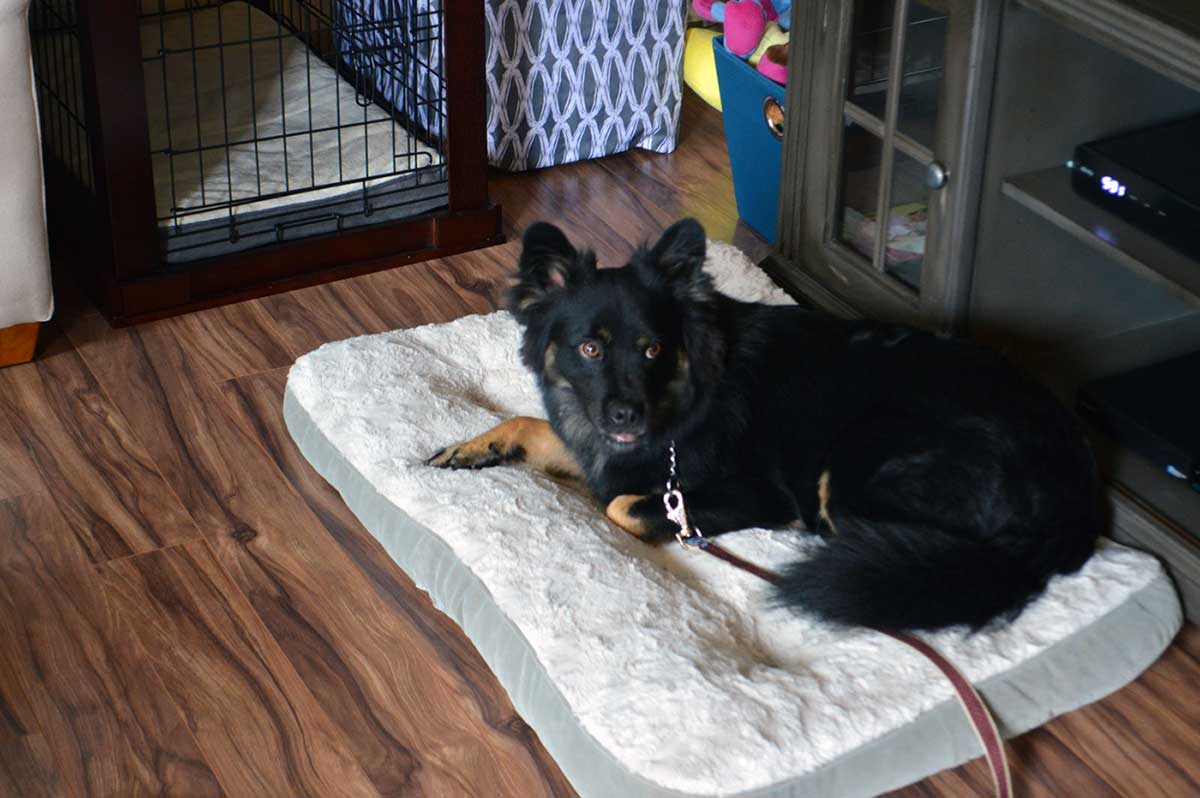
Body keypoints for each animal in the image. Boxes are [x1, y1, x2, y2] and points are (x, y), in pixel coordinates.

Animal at [427, 218, 1099, 628]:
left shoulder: (744, 492)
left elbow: (620, 506)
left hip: (859, 457)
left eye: (653, 350)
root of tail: (1071, 493)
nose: (626, 415)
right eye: (589, 349)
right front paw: (473, 447)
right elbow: (530, 423)